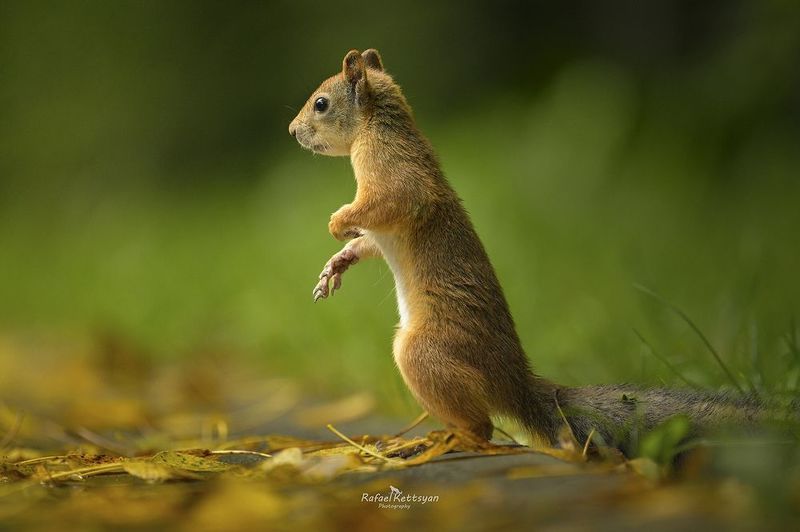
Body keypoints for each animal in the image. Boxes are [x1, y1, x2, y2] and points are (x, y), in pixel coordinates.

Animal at [289, 49, 785, 454]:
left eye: (321, 103)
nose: (292, 131)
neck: (378, 127)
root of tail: (515, 385)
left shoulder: (395, 177)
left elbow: (389, 202)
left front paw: (337, 224)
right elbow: (368, 242)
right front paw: (335, 265)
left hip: (425, 354)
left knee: (483, 427)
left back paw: (435, 440)